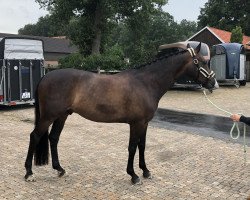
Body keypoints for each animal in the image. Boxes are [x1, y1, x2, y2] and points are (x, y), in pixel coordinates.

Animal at [24, 43, 218, 184]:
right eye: (202, 62)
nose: (214, 83)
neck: (146, 82)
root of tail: (45, 77)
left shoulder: (144, 123)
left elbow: (142, 146)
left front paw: (145, 171)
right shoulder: (136, 123)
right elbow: (132, 147)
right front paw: (133, 175)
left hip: (62, 116)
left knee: (53, 138)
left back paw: (60, 169)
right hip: (48, 117)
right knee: (35, 136)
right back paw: (29, 173)